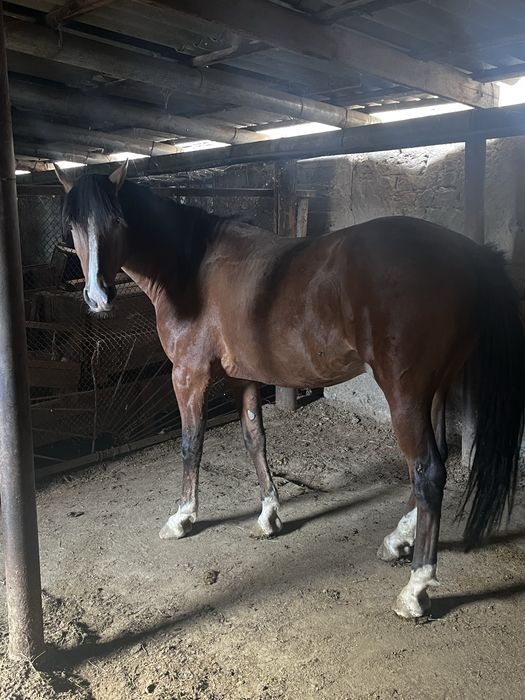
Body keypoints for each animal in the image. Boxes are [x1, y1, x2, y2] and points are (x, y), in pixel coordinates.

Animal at [54, 161, 525, 620]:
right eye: (73, 225)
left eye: (117, 220)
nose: (97, 297)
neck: (191, 268)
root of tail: (465, 254)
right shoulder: (244, 377)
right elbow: (254, 440)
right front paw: (268, 515)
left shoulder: (188, 374)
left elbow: (191, 444)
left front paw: (183, 517)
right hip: (436, 390)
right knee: (434, 461)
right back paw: (397, 541)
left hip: (405, 394)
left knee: (427, 470)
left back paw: (415, 589)